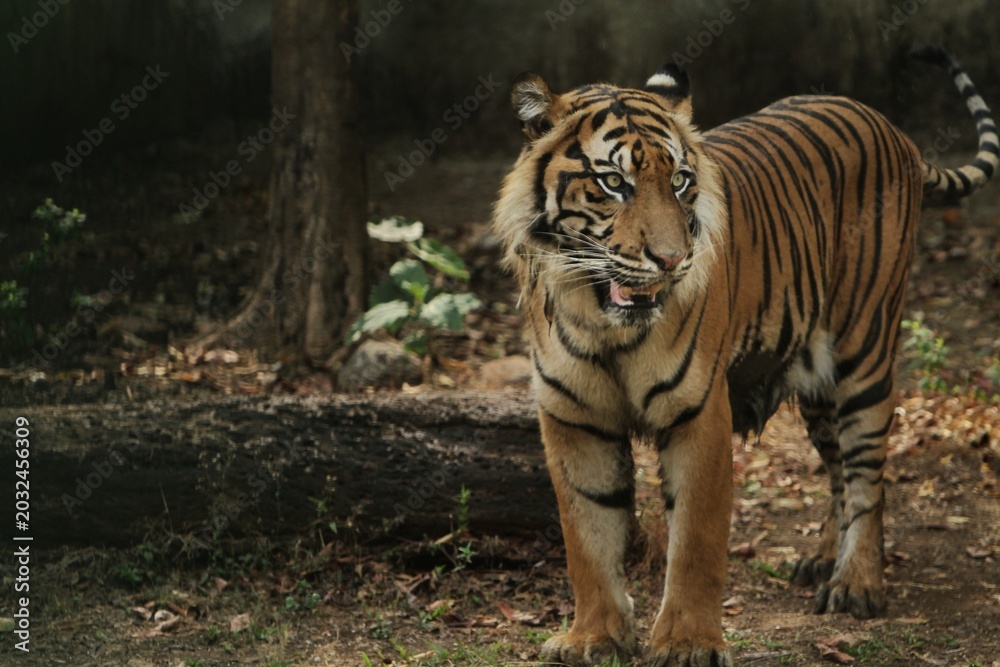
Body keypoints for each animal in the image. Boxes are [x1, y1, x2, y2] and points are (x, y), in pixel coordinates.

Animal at [492, 46, 997, 667]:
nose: (671, 260)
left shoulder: (699, 412)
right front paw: (594, 637)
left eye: (680, 181)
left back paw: (856, 583)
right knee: (837, 467)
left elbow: (695, 542)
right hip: (816, 382)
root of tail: (891, 126)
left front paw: (687, 644)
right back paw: (822, 559)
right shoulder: (572, 419)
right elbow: (586, 537)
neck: (600, 322)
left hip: (864, 350)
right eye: (613, 183)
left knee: (868, 475)